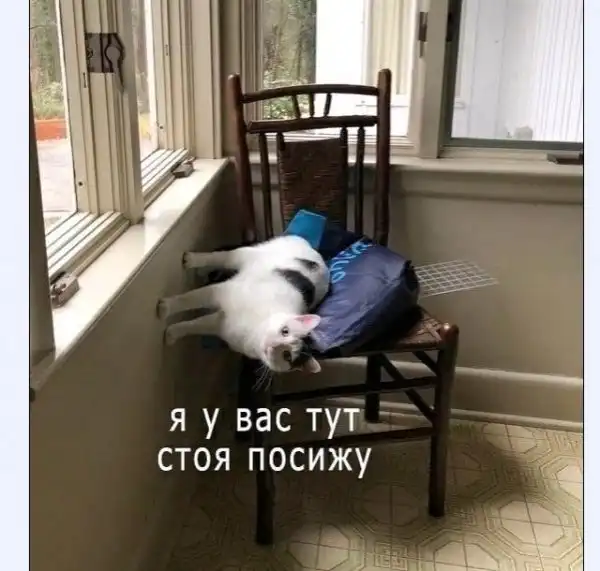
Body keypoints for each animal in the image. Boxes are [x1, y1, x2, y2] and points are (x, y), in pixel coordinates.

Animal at [156, 235, 330, 374]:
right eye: (285, 331)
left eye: (287, 356)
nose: (274, 346)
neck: (253, 332)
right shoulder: (221, 293)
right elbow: (189, 299)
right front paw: (165, 308)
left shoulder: (219, 324)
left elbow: (194, 325)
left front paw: (172, 333)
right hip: (245, 255)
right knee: (220, 257)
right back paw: (193, 260)